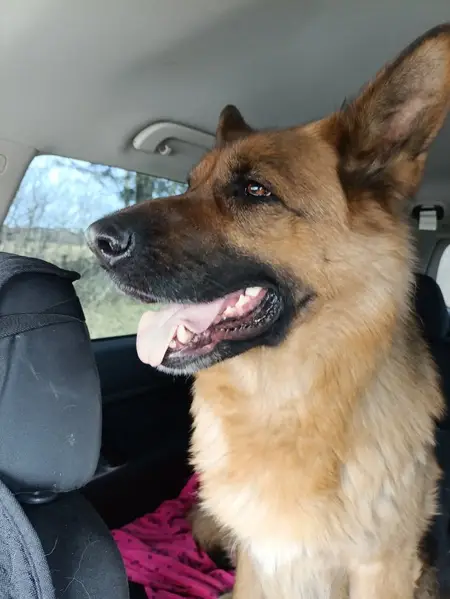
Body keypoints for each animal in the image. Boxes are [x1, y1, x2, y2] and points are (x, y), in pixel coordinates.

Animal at [87, 23, 450, 599]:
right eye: (188, 184)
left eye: (255, 190)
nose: (95, 240)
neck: (282, 402)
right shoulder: (260, 563)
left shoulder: (382, 568)